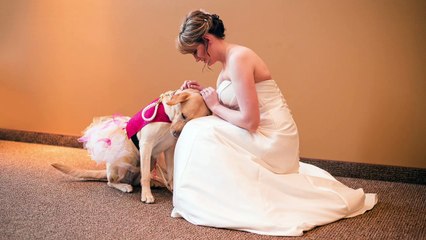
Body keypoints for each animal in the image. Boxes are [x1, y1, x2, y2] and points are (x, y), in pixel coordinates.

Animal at [52, 89, 211, 203]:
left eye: (189, 122)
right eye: (183, 115)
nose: (176, 134)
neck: (168, 118)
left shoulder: (169, 150)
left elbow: (171, 174)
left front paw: (172, 189)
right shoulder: (146, 144)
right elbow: (145, 176)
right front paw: (146, 195)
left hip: (152, 160)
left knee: (137, 180)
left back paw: (155, 182)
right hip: (125, 162)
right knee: (111, 182)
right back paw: (125, 186)